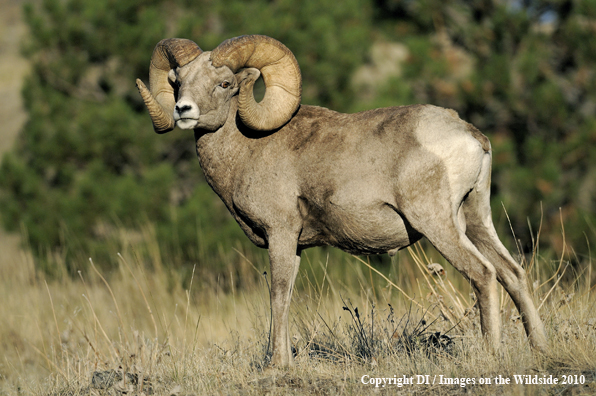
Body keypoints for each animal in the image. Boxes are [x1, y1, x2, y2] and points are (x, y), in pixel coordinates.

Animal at [137, 34, 548, 366]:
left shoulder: (281, 234)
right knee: (513, 274)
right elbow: (287, 297)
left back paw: (492, 354)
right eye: (178, 82)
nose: (183, 110)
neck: (247, 149)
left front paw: (277, 365)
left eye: (225, 83)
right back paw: (540, 349)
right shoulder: (294, 246)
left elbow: (278, 296)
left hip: (438, 225)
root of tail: (470, 135)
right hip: (476, 219)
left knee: (484, 274)